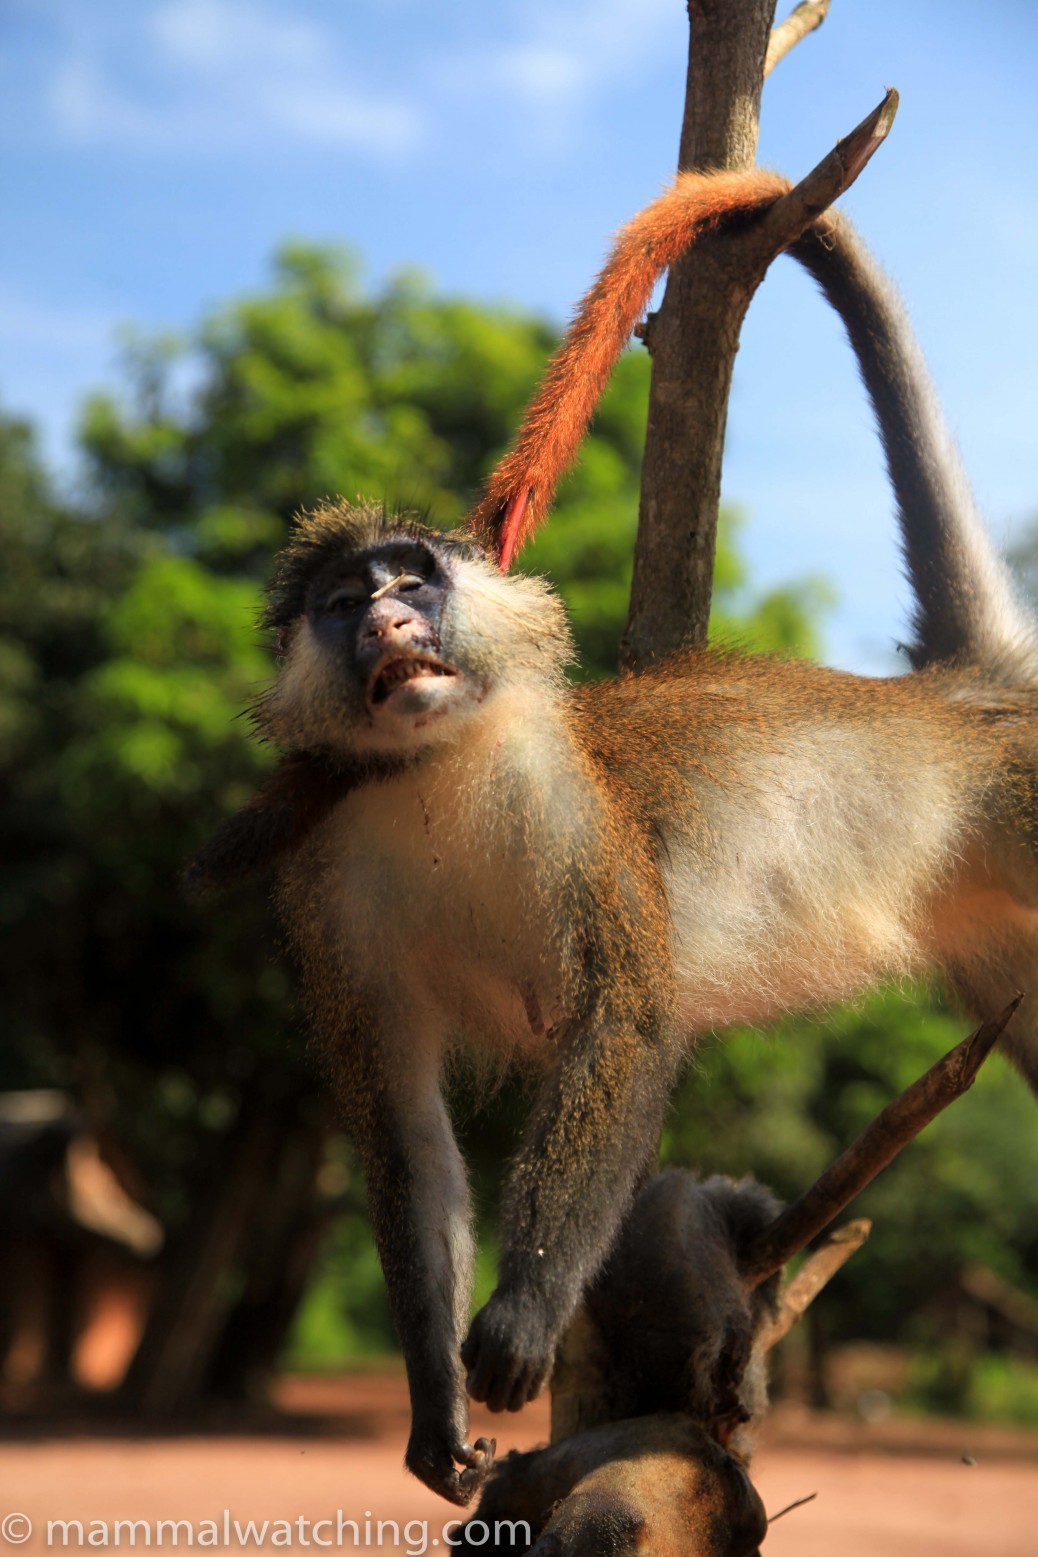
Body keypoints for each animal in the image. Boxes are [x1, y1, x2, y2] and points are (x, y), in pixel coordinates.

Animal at [186, 167, 1038, 1494]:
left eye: (412, 580)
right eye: (341, 604)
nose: (385, 625)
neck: (435, 775)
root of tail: (962, 707)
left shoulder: (572, 814)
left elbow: (627, 1015)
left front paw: (524, 1314)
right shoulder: (324, 891)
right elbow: (403, 1132)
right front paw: (435, 1409)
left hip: (1024, 802)